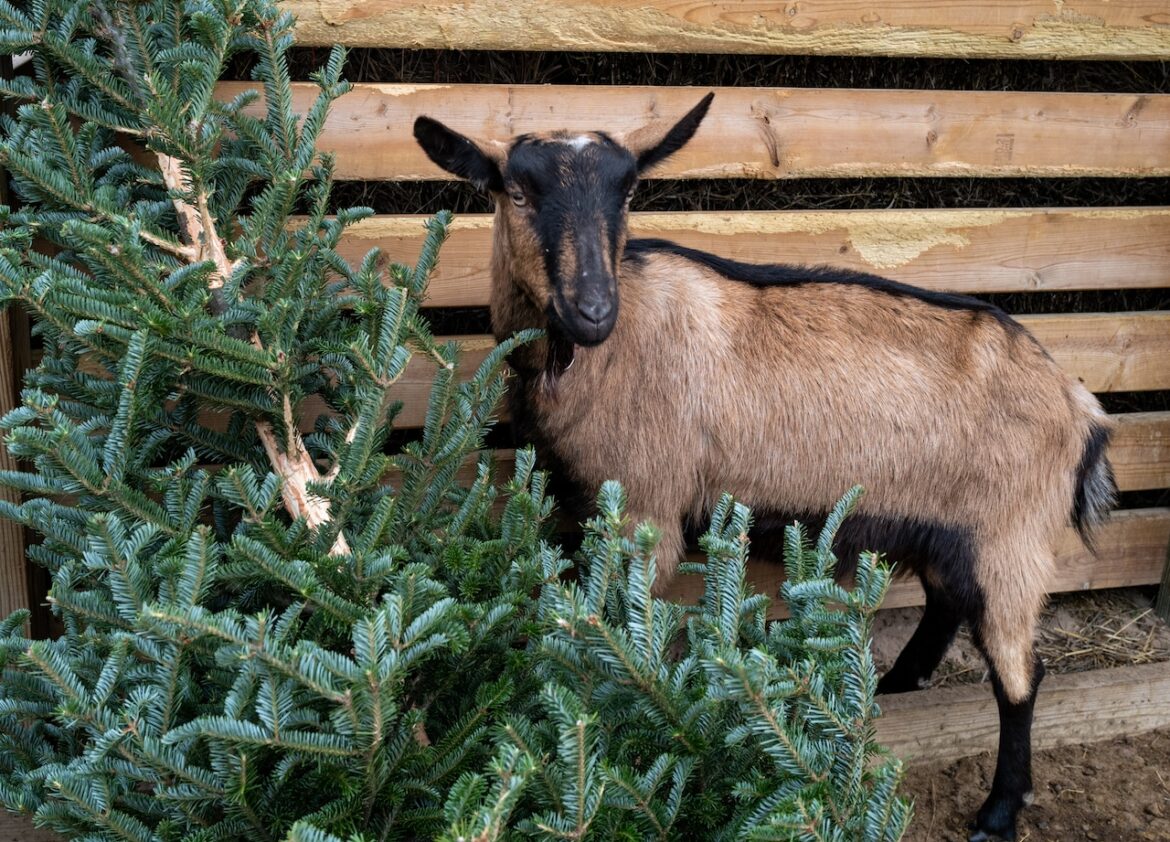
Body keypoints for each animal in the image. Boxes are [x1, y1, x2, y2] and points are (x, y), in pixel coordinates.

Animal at [413, 93, 1116, 842]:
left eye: (627, 192)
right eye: (516, 192)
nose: (592, 311)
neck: (593, 356)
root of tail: (1081, 407)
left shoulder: (646, 507)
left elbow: (628, 630)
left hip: (1013, 538)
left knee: (1021, 675)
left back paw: (997, 811)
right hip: (953, 529)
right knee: (948, 602)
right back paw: (896, 684)